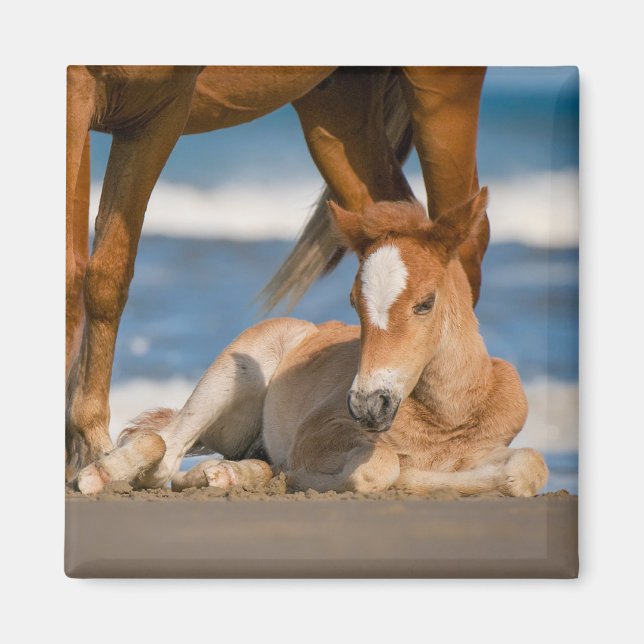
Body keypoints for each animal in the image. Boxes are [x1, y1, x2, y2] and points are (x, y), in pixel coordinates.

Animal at [66, 65, 490, 479]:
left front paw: (88, 446)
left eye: (426, 304)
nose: (369, 407)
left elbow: (98, 271)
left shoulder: (159, 112)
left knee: (465, 239)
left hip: (442, 95)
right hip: (338, 112)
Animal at [75, 189, 548, 498]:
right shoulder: (317, 433)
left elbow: (530, 467)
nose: (367, 405)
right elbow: (383, 466)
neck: (447, 416)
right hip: (235, 372)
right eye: (354, 301)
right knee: (164, 452)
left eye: (425, 303)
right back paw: (99, 475)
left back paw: (231, 474)